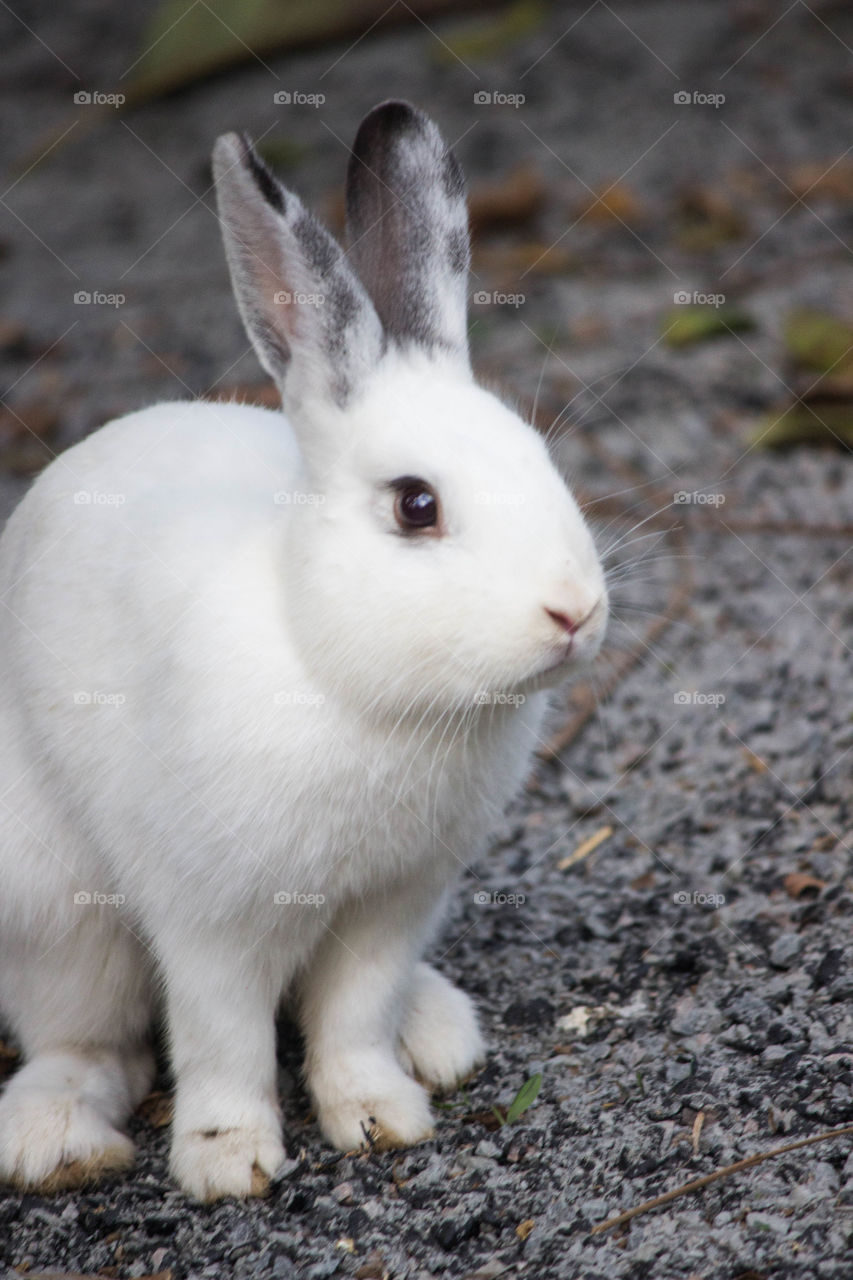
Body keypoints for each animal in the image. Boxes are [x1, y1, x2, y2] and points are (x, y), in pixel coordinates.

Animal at [0, 100, 608, 1200]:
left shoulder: (391, 909)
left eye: (543, 460)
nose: (573, 611)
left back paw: (436, 1031)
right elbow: (224, 1040)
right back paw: (60, 1135)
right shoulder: (211, 917)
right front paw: (228, 1159)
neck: (339, 673)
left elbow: (352, 1016)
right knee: (86, 1037)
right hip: (53, 912)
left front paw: (380, 1114)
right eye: (415, 506)